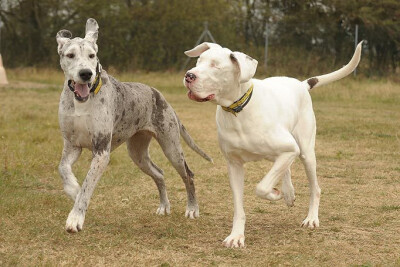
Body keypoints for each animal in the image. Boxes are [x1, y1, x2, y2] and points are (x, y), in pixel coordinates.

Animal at [57, 17, 212, 233]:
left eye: (92, 55)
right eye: (70, 55)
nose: (86, 73)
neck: (81, 101)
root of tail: (160, 95)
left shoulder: (101, 152)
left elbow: (87, 185)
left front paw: (75, 217)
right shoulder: (72, 146)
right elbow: (63, 168)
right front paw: (73, 189)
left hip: (172, 148)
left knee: (188, 175)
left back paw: (192, 209)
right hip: (137, 154)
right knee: (159, 173)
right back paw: (164, 206)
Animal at [184, 42, 362, 249]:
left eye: (215, 66)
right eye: (198, 61)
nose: (189, 75)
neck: (239, 110)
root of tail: (301, 84)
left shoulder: (290, 149)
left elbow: (261, 187)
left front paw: (275, 194)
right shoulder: (234, 165)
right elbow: (239, 207)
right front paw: (236, 236)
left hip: (305, 152)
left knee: (314, 187)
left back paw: (310, 217)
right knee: (285, 169)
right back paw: (289, 193)